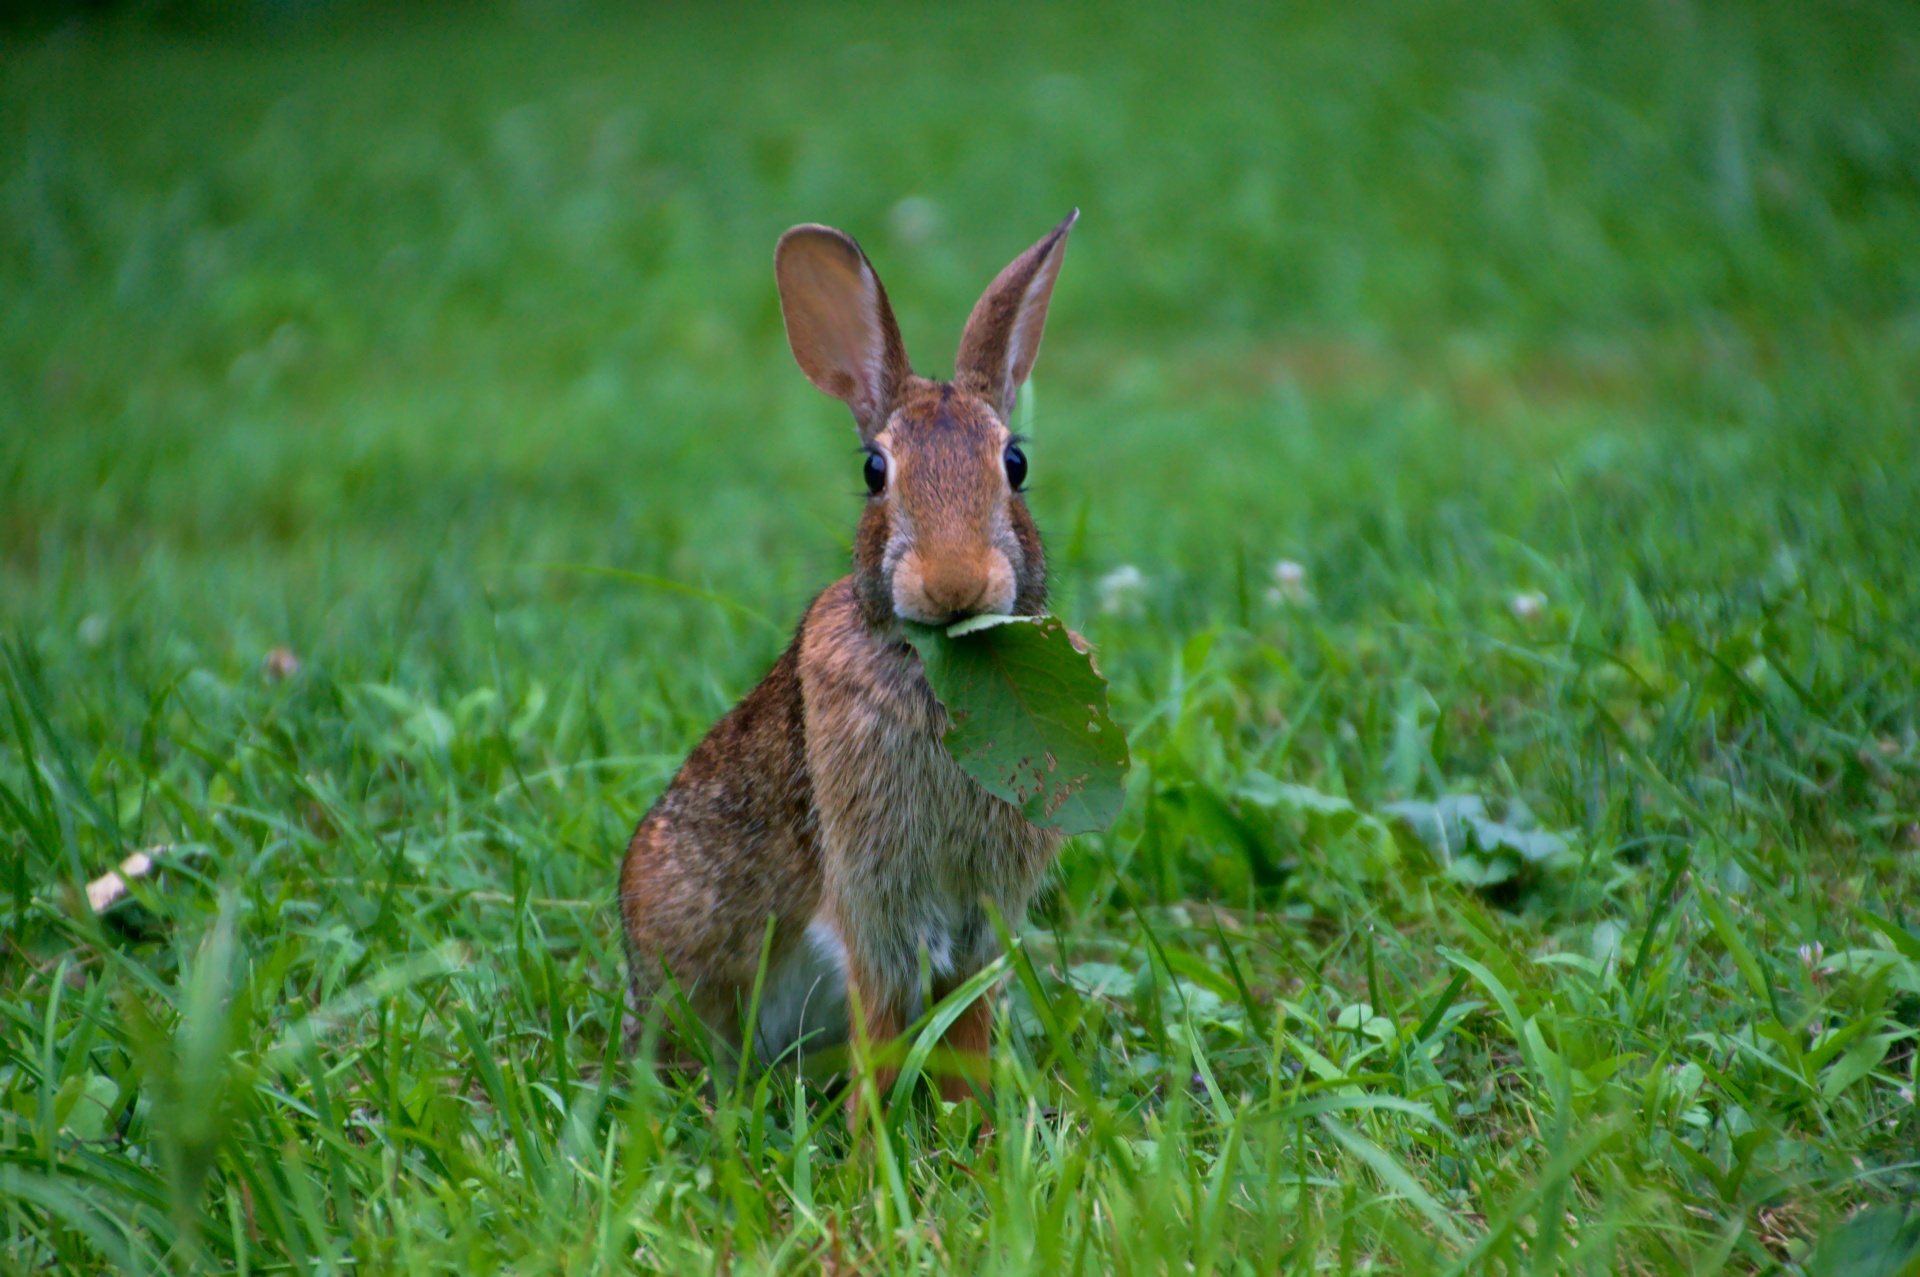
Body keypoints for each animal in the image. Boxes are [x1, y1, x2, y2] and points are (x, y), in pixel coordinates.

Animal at [625, 209, 1082, 1106]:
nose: (954, 582)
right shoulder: (870, 908)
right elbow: (880, 1027)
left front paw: (973, 1132)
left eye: (1015, 464)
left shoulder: (978, 924)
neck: (939, 669)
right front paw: (878, 1142)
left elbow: (967, 1035)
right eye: (875, 471)